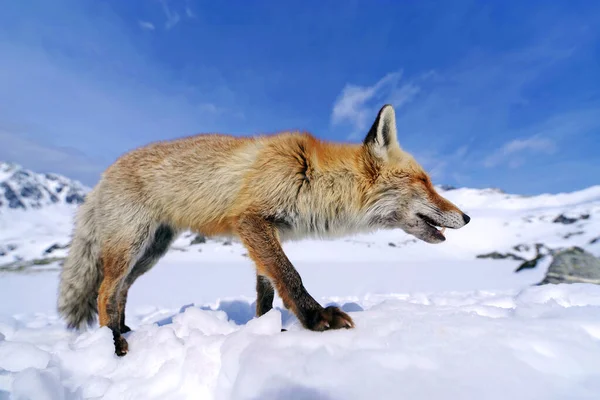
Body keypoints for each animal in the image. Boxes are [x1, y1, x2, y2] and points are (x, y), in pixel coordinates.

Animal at [57, 104, 468, 354]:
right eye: (425, 181)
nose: (466, 217)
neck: (313, 179)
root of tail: (101, 177)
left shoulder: (270, 233)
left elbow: (267, 294)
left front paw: (267, 331)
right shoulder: (252, 221)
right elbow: (291, 276)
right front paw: (317, 319)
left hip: (149, 252)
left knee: (120, 291)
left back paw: (123, 330)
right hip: (131, 245)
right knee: (104, 292)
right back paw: (112, 343)